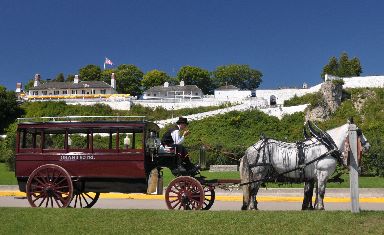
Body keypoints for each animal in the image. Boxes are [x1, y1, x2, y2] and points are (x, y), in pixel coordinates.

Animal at [240, 122, 368, 210]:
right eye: (359, 132)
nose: (368, 145)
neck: (327, 146)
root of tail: (251, 148)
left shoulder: (315, 176)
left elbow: (313, 192)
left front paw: (313, 207)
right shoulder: (323, 173)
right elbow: (321, 191)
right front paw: (321, 207)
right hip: (259, 173)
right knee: (253, 189)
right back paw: (252, 207)